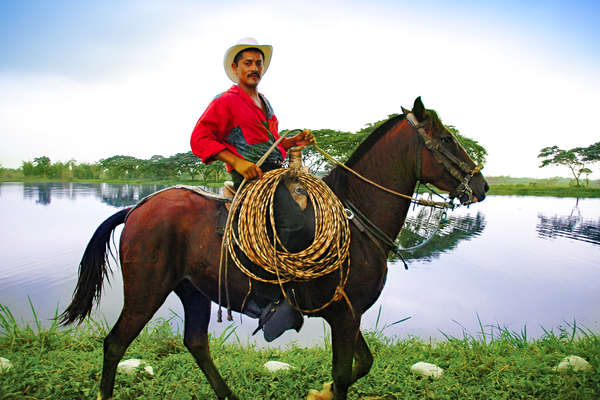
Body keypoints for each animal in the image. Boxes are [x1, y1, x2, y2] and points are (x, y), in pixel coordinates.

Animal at [59, 97, 488, 400]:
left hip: (192, 291)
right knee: (115, 344)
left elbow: (362, 365)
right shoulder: (345, 317)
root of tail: (136, 207)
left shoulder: (349, 314)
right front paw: (327, 390)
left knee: (196, 343)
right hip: (146, 291)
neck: (356, 217)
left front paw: (319, 392)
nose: (482, 186)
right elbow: (343, 376)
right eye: (447, 140)